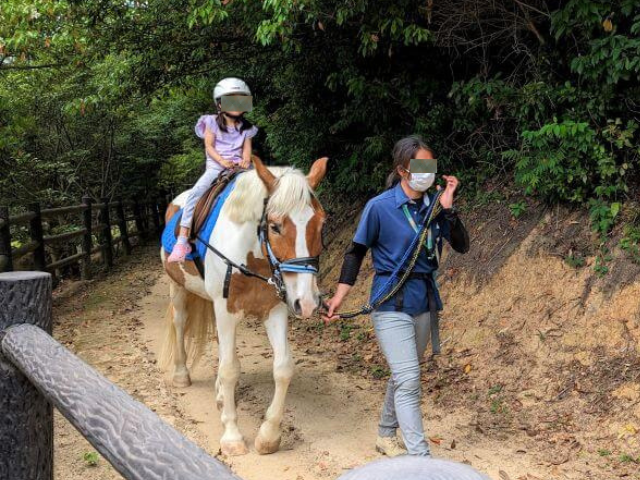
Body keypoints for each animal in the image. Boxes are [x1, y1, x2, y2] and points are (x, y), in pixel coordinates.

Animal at [158, 158, 328, 458]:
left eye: (321, 225)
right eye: (275, 226)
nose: (308, 303)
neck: (253, 259)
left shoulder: (275, 310)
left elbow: (283, 367)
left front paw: (268, 436)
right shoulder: (226, 311)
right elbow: (229, 370)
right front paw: (232, 436)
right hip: (177, 286)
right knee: (179, 322)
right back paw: (181, 375)